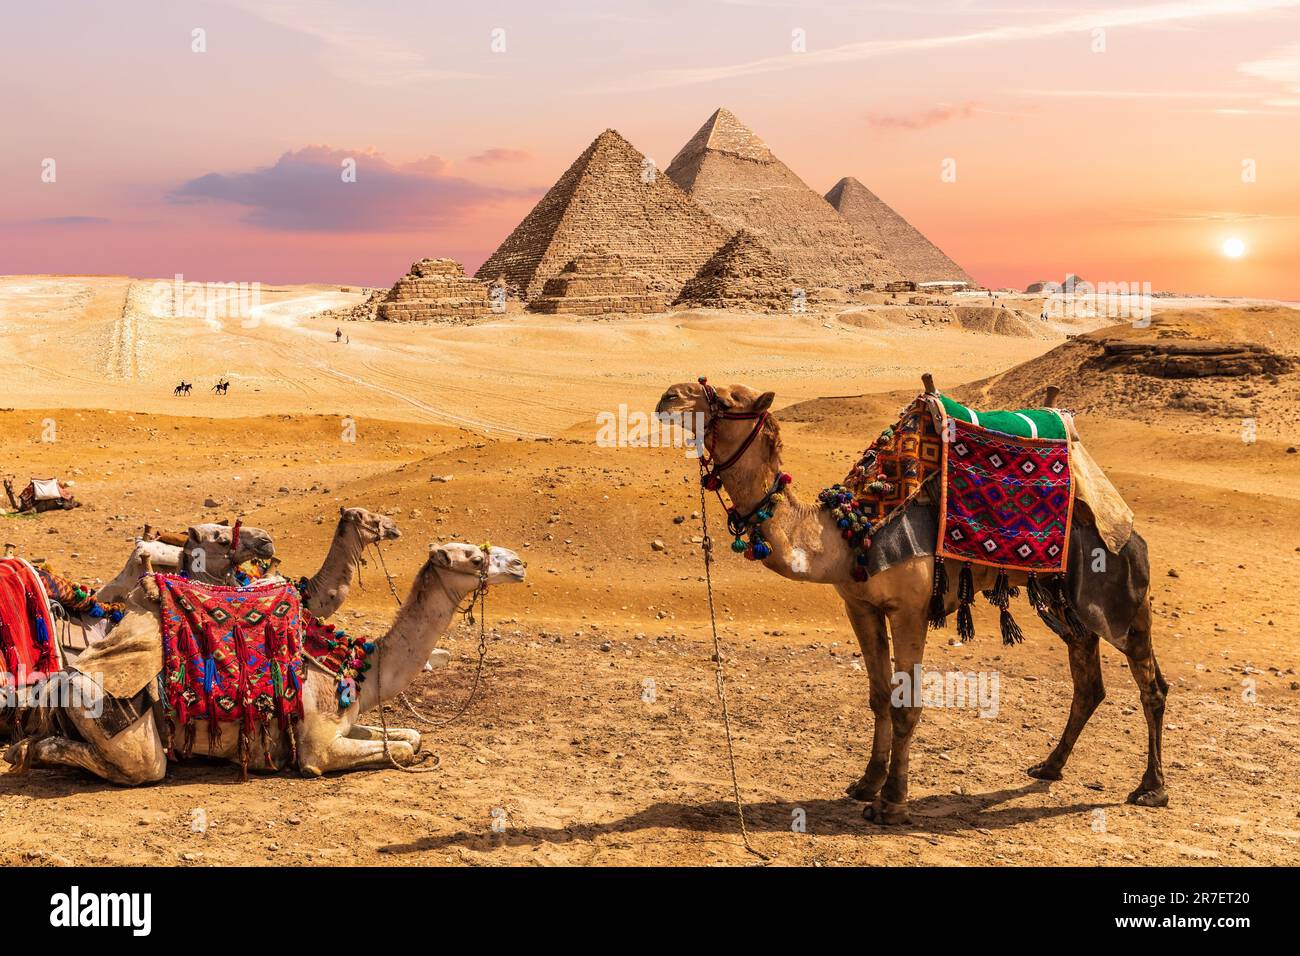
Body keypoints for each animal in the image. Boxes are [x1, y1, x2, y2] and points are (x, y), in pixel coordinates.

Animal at [7, 542, 525, 784]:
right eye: (472, 555)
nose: (519, 564)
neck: (361, 670)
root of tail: (63, 678)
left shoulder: (344, 720)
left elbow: (411, 737)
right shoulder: (318, 747)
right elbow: (395, 748)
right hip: (118, 718)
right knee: (140, 765)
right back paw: (27, 752)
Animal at [655, 379, 1166, 825]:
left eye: (726, 399)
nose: (668, 397)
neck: (848, 533)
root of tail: (1128, 524)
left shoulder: (911, 611)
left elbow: (906, 705)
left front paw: (892, 803)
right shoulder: (860, 606)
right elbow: (879, 696)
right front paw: (866, 784)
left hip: (1119, 592)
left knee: (1151, 684)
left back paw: (1151, 788)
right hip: (1066, 605)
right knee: (1088, 681)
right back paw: (1049, 766)